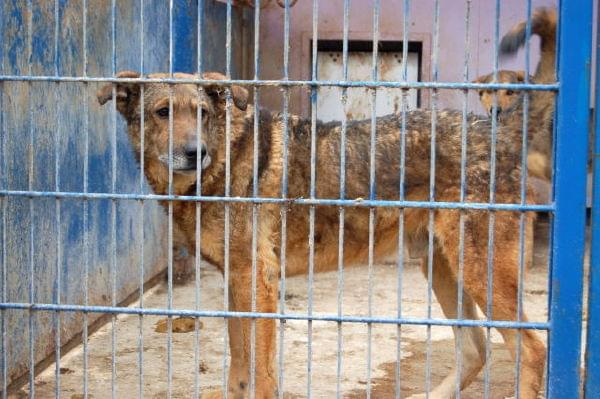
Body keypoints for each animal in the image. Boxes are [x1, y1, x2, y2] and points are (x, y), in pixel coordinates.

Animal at [94, 14, 556, 399]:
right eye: (162, 112)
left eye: (202, 113)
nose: (196, 153)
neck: (223, 160)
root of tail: (498, 130)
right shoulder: (236, 282)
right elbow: (239, 367)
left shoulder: (257, 282)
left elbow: (260, 374)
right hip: (442, 265)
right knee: (477, 347)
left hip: (479, 268)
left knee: (531, 347)